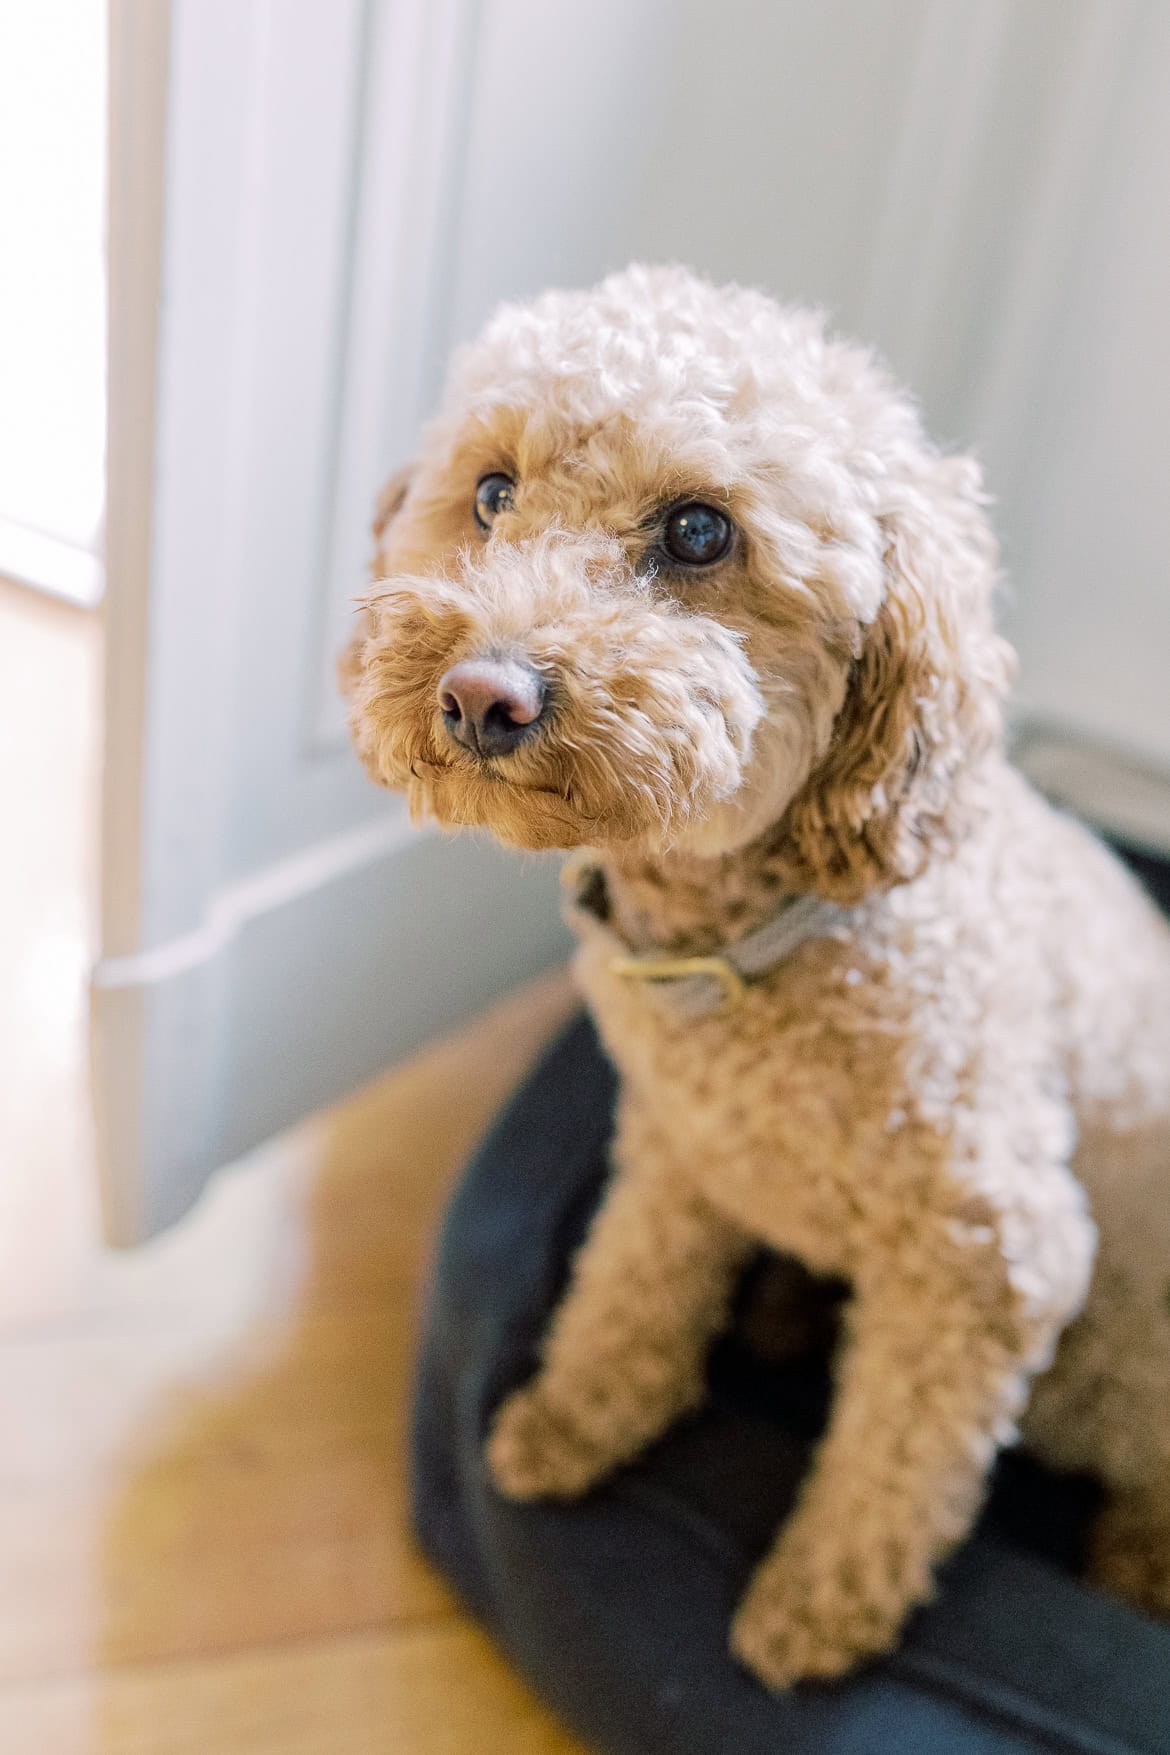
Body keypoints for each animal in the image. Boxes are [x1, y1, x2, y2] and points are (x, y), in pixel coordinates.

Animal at [343, 263, 1170, 1684]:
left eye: (697, 533)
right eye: (491, 494)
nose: (481, 695)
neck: (742, 947)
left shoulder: (994, 1263)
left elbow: (896, 1462)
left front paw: (817, 1606)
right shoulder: (678, 1149)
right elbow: (630, 1284)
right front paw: (576, 1416)